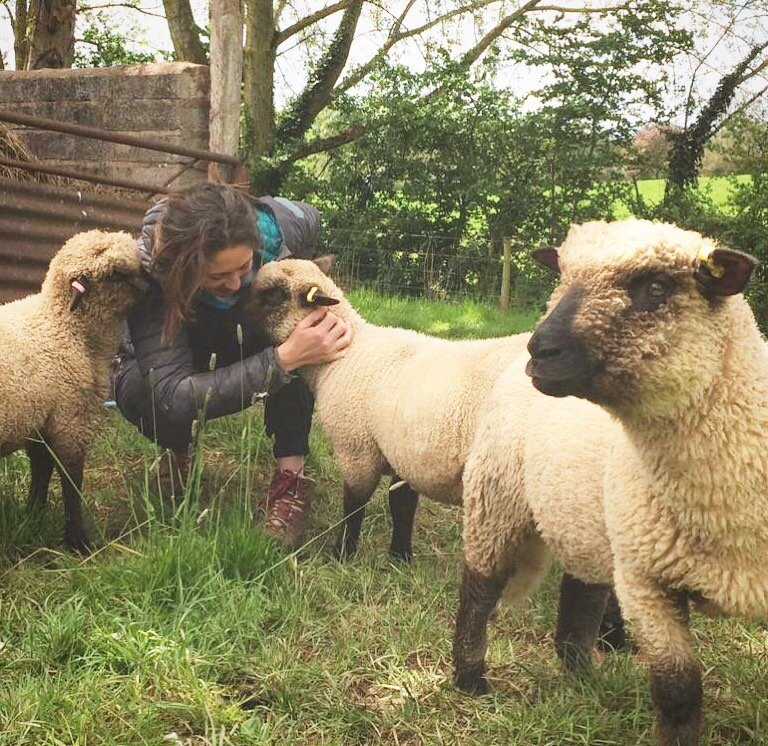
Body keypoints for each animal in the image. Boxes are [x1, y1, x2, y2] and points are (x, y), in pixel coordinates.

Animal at [0, 230, 146, 548]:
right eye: (114, 273)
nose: (153, 286)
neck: (62, 324)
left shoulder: (41, 419)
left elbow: (41, 469)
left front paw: (33, 517)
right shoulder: (71, 420)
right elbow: (71, 480)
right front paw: (78, 541)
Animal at [456, 218, 760, 744]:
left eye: (656, 286)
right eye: (561, 274)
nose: (542, 351)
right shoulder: (647, 581)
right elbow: (679, 691)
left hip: (588, 518)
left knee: (580, 593)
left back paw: (581, 674)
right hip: (496, 496)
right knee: (478, 587)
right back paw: (470, 679)